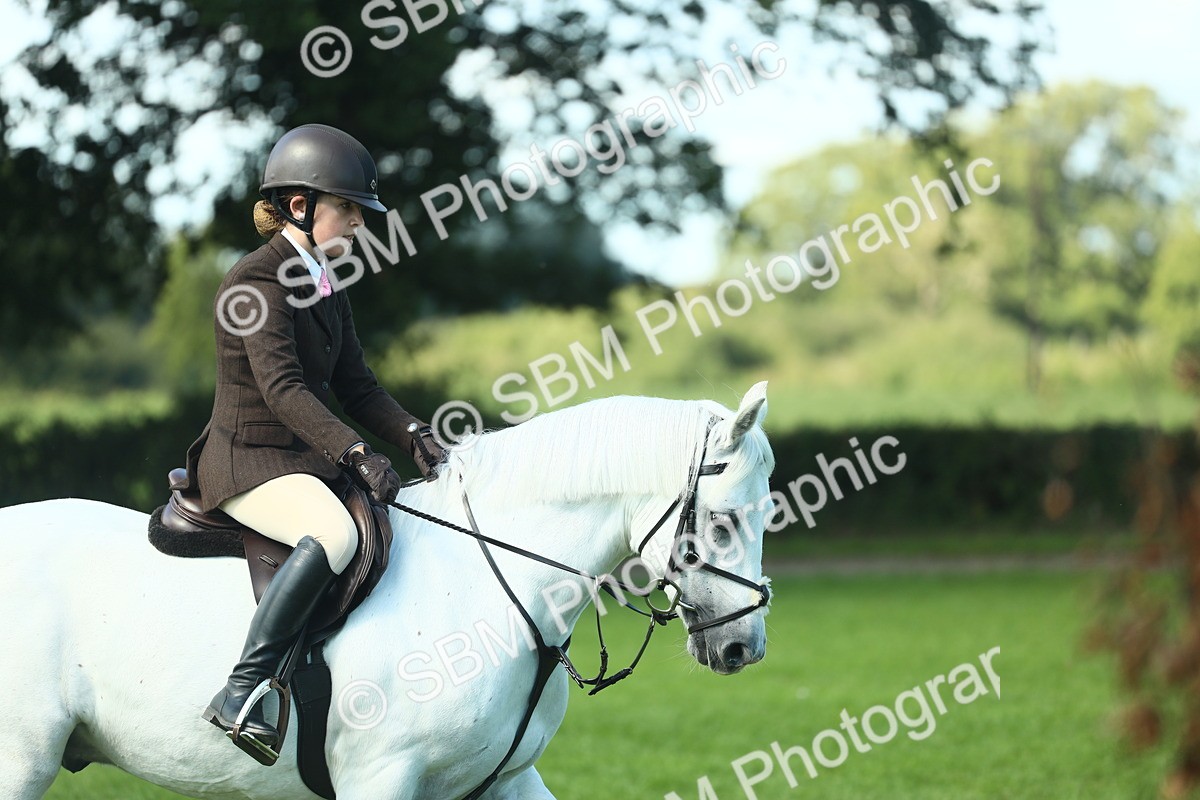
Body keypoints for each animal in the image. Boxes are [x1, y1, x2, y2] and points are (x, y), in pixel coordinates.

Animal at [0, 383, 774, 800]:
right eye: (724, 521)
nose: (744, 646)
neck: (492, 588)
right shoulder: (382, 775)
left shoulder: (507, 777)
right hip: (20, 759)